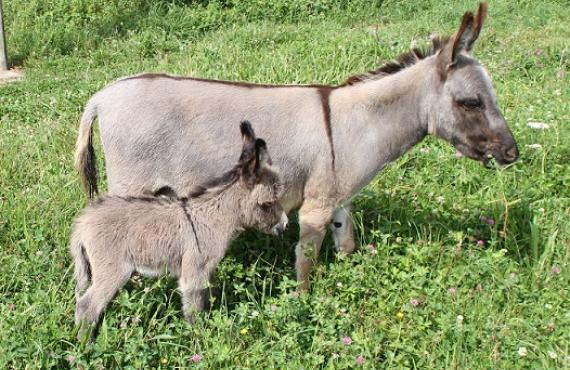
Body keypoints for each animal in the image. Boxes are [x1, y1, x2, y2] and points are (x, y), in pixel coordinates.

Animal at [69, 122, 286, 342]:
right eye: (267, 204)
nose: (284, 225)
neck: (214, 217)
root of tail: (83, 222)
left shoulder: (205, 271)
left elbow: (206, 298)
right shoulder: (194, 271)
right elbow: (194, 308)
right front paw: (200, 339)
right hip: (112, 271)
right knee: (86, 306)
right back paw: (86, 345)